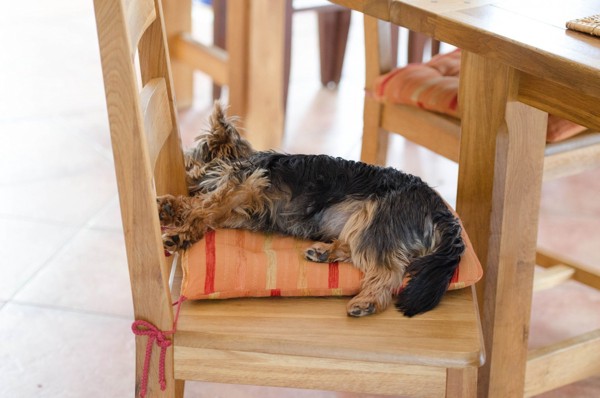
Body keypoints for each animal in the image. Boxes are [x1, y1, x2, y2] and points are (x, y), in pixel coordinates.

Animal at [156, 104, 464, 318]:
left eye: (190, 157)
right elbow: (203, 207)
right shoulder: (238, 209)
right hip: (363, 222)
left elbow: (204, 208)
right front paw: (170, 206)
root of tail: (443, 211)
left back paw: (367, 302)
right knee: (356, 249)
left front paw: (179, 231)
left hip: (379, 216)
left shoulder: (244, 185)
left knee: (388, 270)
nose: (184, 167)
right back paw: (324, 252)